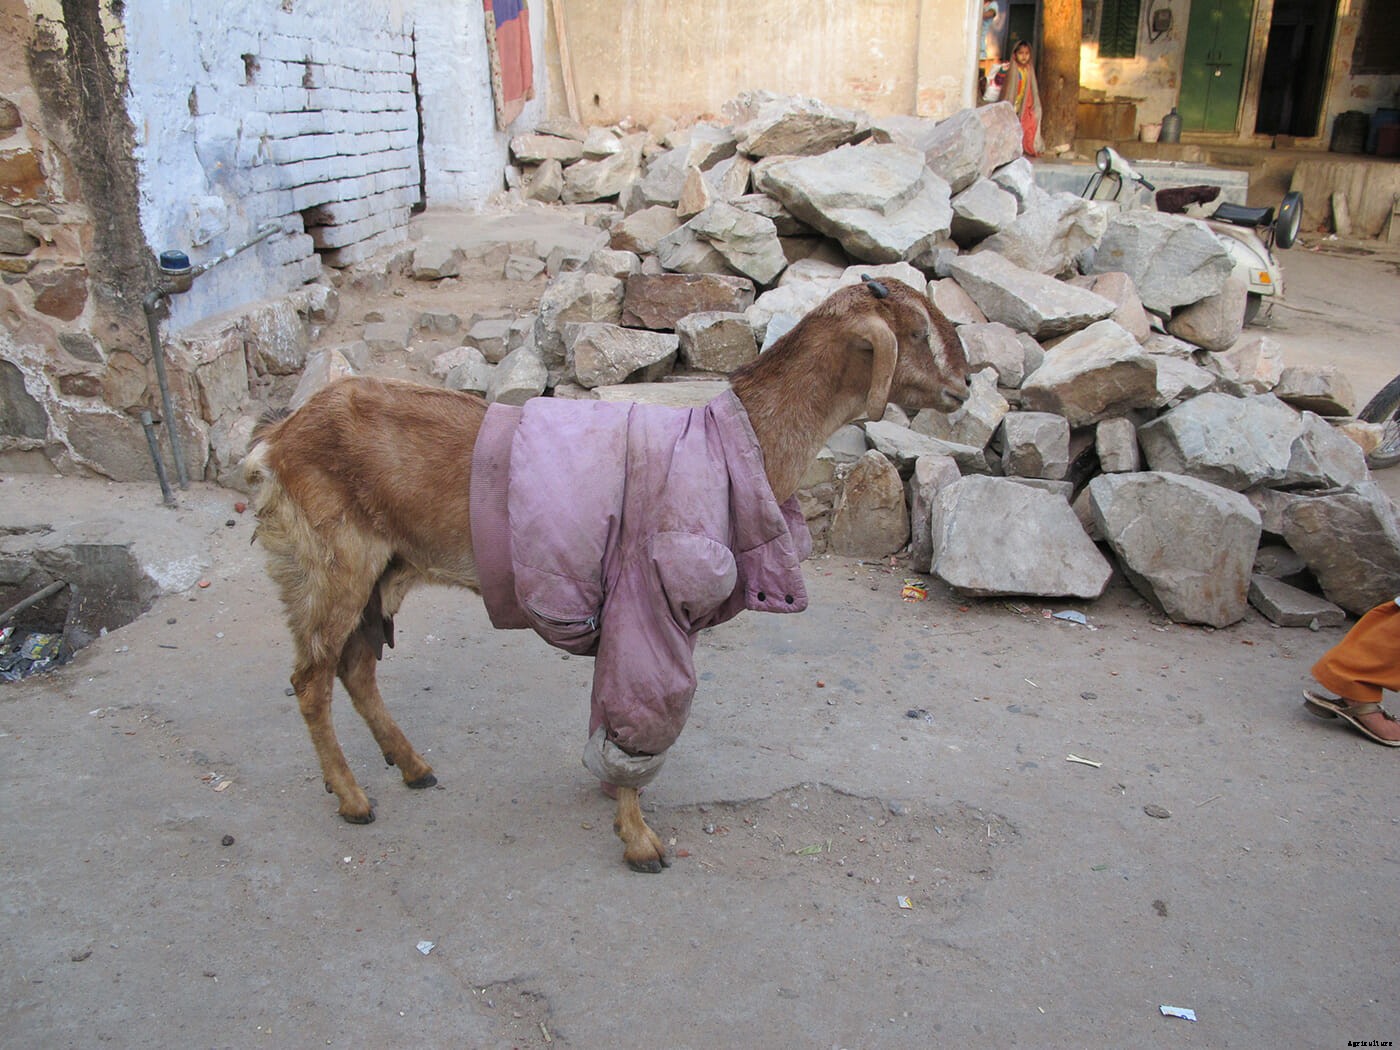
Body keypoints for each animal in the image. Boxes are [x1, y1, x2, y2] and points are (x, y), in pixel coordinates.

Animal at [243, 276, 969, 872]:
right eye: (916, 332)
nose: (965, 384)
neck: (729, 447)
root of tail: (274, 445)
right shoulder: (650, 602)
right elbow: (645, 714)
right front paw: (640, 840)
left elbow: (612, 712)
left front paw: (609, 791)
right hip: (328, 564)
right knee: (311, 679)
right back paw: (353, 798)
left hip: (382, 568)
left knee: (355, 666)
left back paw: (412, 766)